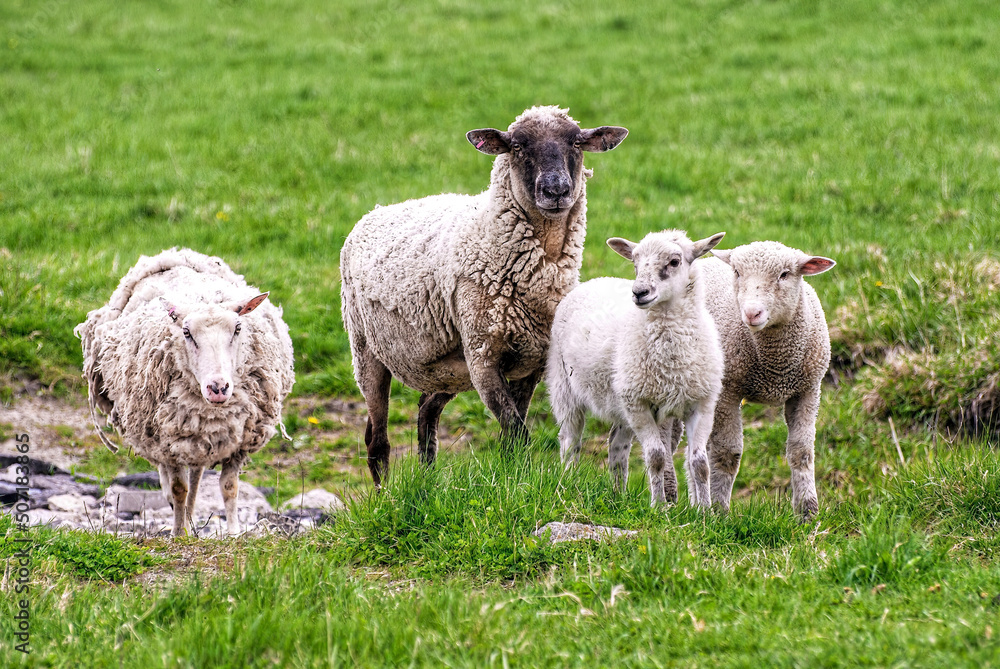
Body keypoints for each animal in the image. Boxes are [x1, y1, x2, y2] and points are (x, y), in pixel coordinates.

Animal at [74, 248, 295, 537]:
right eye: (187, 332)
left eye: (238, 329)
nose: (218, 388)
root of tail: (175, 255)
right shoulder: (168, 442)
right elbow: (179, 489)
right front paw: (179, 534)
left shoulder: (241, 439)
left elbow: (229, 487)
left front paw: (234, 532)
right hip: (160, 433)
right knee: (174, 483)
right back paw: (183, 521)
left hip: (200, 436)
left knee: (197, 476)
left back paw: (191, 519)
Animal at [340, 106, 628, 486]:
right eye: (517, 146)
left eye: (577, 142)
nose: (556, 189)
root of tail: (373, 212)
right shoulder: (483, 358)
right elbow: (517, 432)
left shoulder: (531, 363)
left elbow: (510, 435)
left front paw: (514, 479)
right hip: (366, 349)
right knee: (377, 437)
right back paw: (384, 493)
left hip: (446, 367)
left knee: (425, 414)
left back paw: (429, 481)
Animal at [547, 230, 726, 507]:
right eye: (635, 263)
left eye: (674, 261)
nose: (639, 292)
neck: (672, 361)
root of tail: (592, 281)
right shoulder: (639, 404)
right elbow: (656, 458)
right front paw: (659, 507)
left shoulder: (702, 403)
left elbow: (700, 463)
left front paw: (705, 512)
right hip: (565, 386)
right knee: (570, 441)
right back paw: (567, 485)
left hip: (622, 403)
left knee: (616, 444)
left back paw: (618, 495)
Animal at [700, 241, 836, 521]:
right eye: (737, 273)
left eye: (784, 274)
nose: (752, 313)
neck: (776, 366)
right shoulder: (728, 391)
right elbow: (727, 453)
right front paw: (719, 512)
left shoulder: (808, 389)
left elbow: (802, 452)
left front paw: (808, 512)